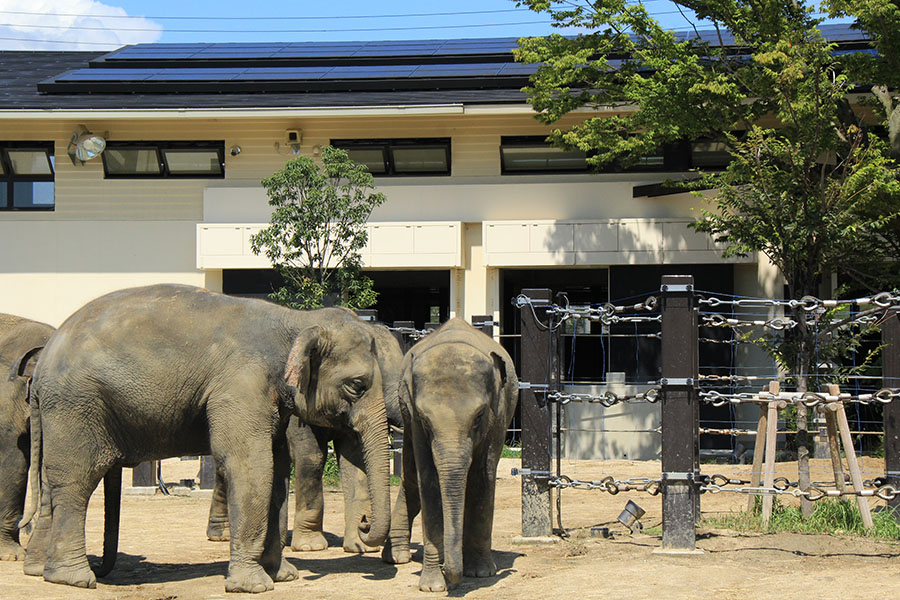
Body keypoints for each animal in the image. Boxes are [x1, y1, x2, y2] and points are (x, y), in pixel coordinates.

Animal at [206, 322, 406, 556]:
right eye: (358, 386)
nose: (365, 521)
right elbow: (312, 457)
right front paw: (310, 546)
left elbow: (355, 459)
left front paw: (361, 547)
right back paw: (221, 535)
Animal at [382, 318, 520, 592]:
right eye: (425, 420)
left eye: (479, 416)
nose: (452, 580)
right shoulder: (415, 420)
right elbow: (428, 481)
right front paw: (433, 585)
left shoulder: (497, 415)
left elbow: (482, 476)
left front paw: (480, 573)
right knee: (411, 479)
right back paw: (397, 557)